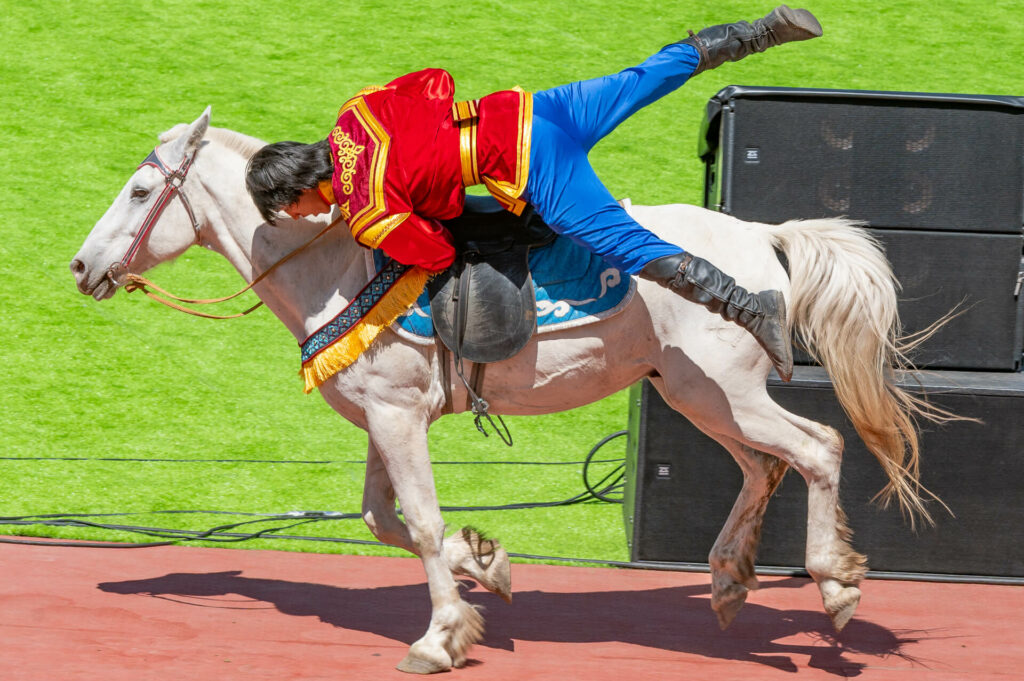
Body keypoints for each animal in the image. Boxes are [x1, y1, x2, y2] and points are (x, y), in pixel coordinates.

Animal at [72, 109, 942, 671]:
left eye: (142, 194)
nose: (83, 265)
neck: (341, 262)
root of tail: (759, 235)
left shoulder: (399, 413)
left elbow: (420, 524)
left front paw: (440, 634)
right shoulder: (382, 416)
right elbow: (382, 518)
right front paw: (486, 563)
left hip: (727, 390)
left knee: (818, 446)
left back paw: (833, 582)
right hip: (697, 392)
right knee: (764, 465)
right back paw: (729, 577)